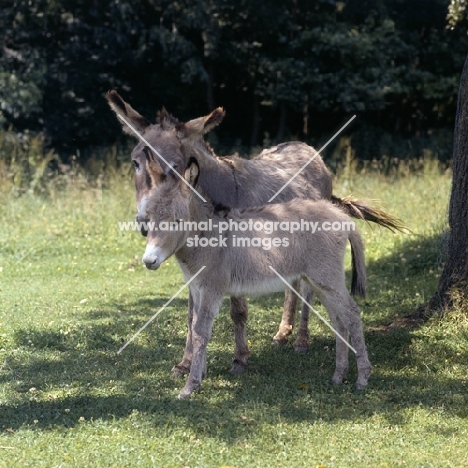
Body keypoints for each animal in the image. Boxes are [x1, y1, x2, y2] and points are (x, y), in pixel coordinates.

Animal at [141, 158, 372, 398]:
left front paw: (191, 385)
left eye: (176, 221)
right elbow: (194, 326)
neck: (206, 237)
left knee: (352, 314)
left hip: (327, 278)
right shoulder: (196, 288)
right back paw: (339, 375)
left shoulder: (212, 289)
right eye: (149, 219)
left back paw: (362, 378)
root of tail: (342, 217)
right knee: (339, 319)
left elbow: (200, 332)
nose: (148, 261)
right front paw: (199, 373)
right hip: (320, 282)